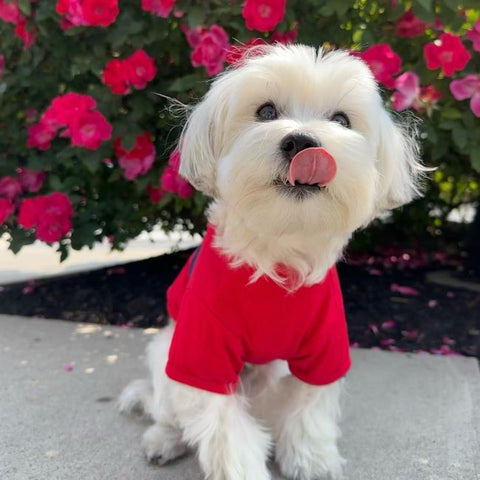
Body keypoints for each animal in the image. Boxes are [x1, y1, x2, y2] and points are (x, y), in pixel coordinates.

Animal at [119, 43, 424, 478]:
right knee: (168, 409)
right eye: (265, 111)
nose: (302, 143)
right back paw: (164, 439)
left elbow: (308, 408)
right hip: (165, 354)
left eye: (341, 119)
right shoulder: (202, 349)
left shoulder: (324, 345)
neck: (278, 251)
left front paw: (313, 460)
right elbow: (226, 428)